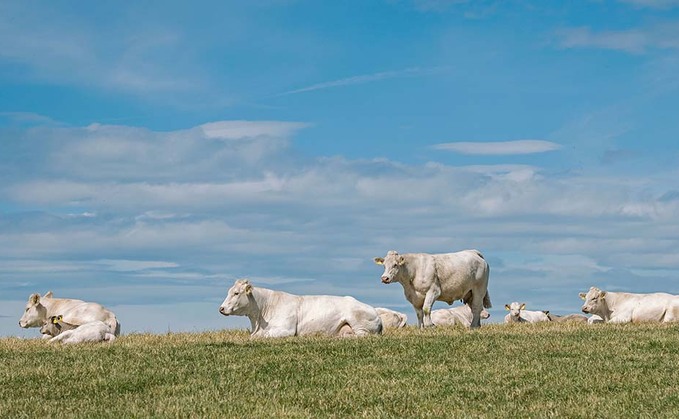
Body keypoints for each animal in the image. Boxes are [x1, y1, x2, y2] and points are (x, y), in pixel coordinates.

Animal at [220, 280, 386, 340]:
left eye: (236, 293)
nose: (221, 308)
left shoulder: (286, 329)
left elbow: (262, 336)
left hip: (358, 321)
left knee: (362, 335)